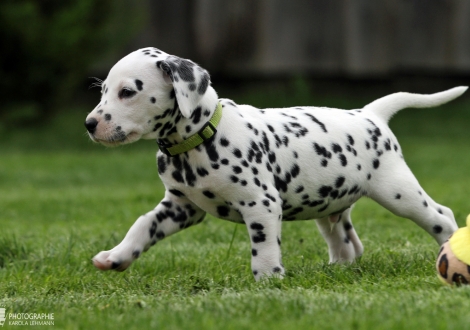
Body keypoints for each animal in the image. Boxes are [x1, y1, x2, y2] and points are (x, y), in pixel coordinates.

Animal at [85, 47, 466, 282]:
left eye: (127, 92)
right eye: (103, 90)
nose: (90, 124)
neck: (202, 138)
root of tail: (369, 114)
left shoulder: (260, 204)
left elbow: (263, 245)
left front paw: (269, 280)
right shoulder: (180, 207)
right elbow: (143, 225)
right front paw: (116, 256)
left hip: (398, 192)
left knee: (441, 216)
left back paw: (451, 251)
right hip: (331, 206)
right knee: (347, 243)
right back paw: (337, 268)